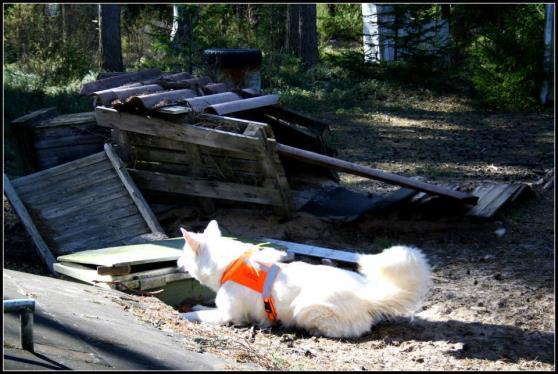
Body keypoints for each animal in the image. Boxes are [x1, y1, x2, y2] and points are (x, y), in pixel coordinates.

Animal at [178, 219, 434, 338]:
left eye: (183, 253)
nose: (177, 262)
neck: (231, 264)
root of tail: (367, 295)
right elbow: (204, 308)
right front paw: (197, 305)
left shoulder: (227, 317)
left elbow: (198, 315)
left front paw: (185, 314)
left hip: (305, 307)